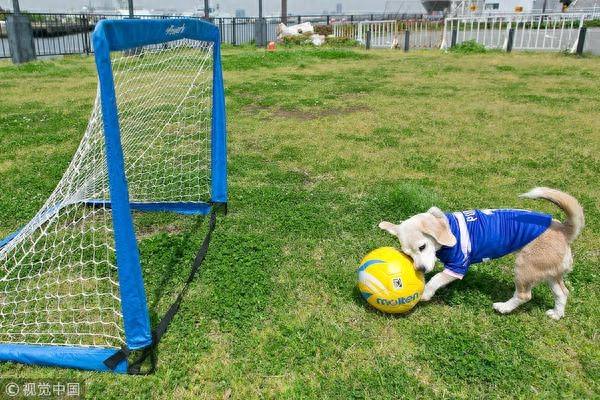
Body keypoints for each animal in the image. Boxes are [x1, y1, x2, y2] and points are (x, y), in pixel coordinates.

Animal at [380, 186, 580, 320]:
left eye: (422, 247)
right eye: (408, 255)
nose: (420, 270)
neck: (449, 228)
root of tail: (564, 229)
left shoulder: (457, 267)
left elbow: (436, 279)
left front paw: (425, 294)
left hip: (525, 267)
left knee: (524, 295)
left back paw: (504, 307)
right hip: (548, 272)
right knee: (562, 292)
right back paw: (557, 314)